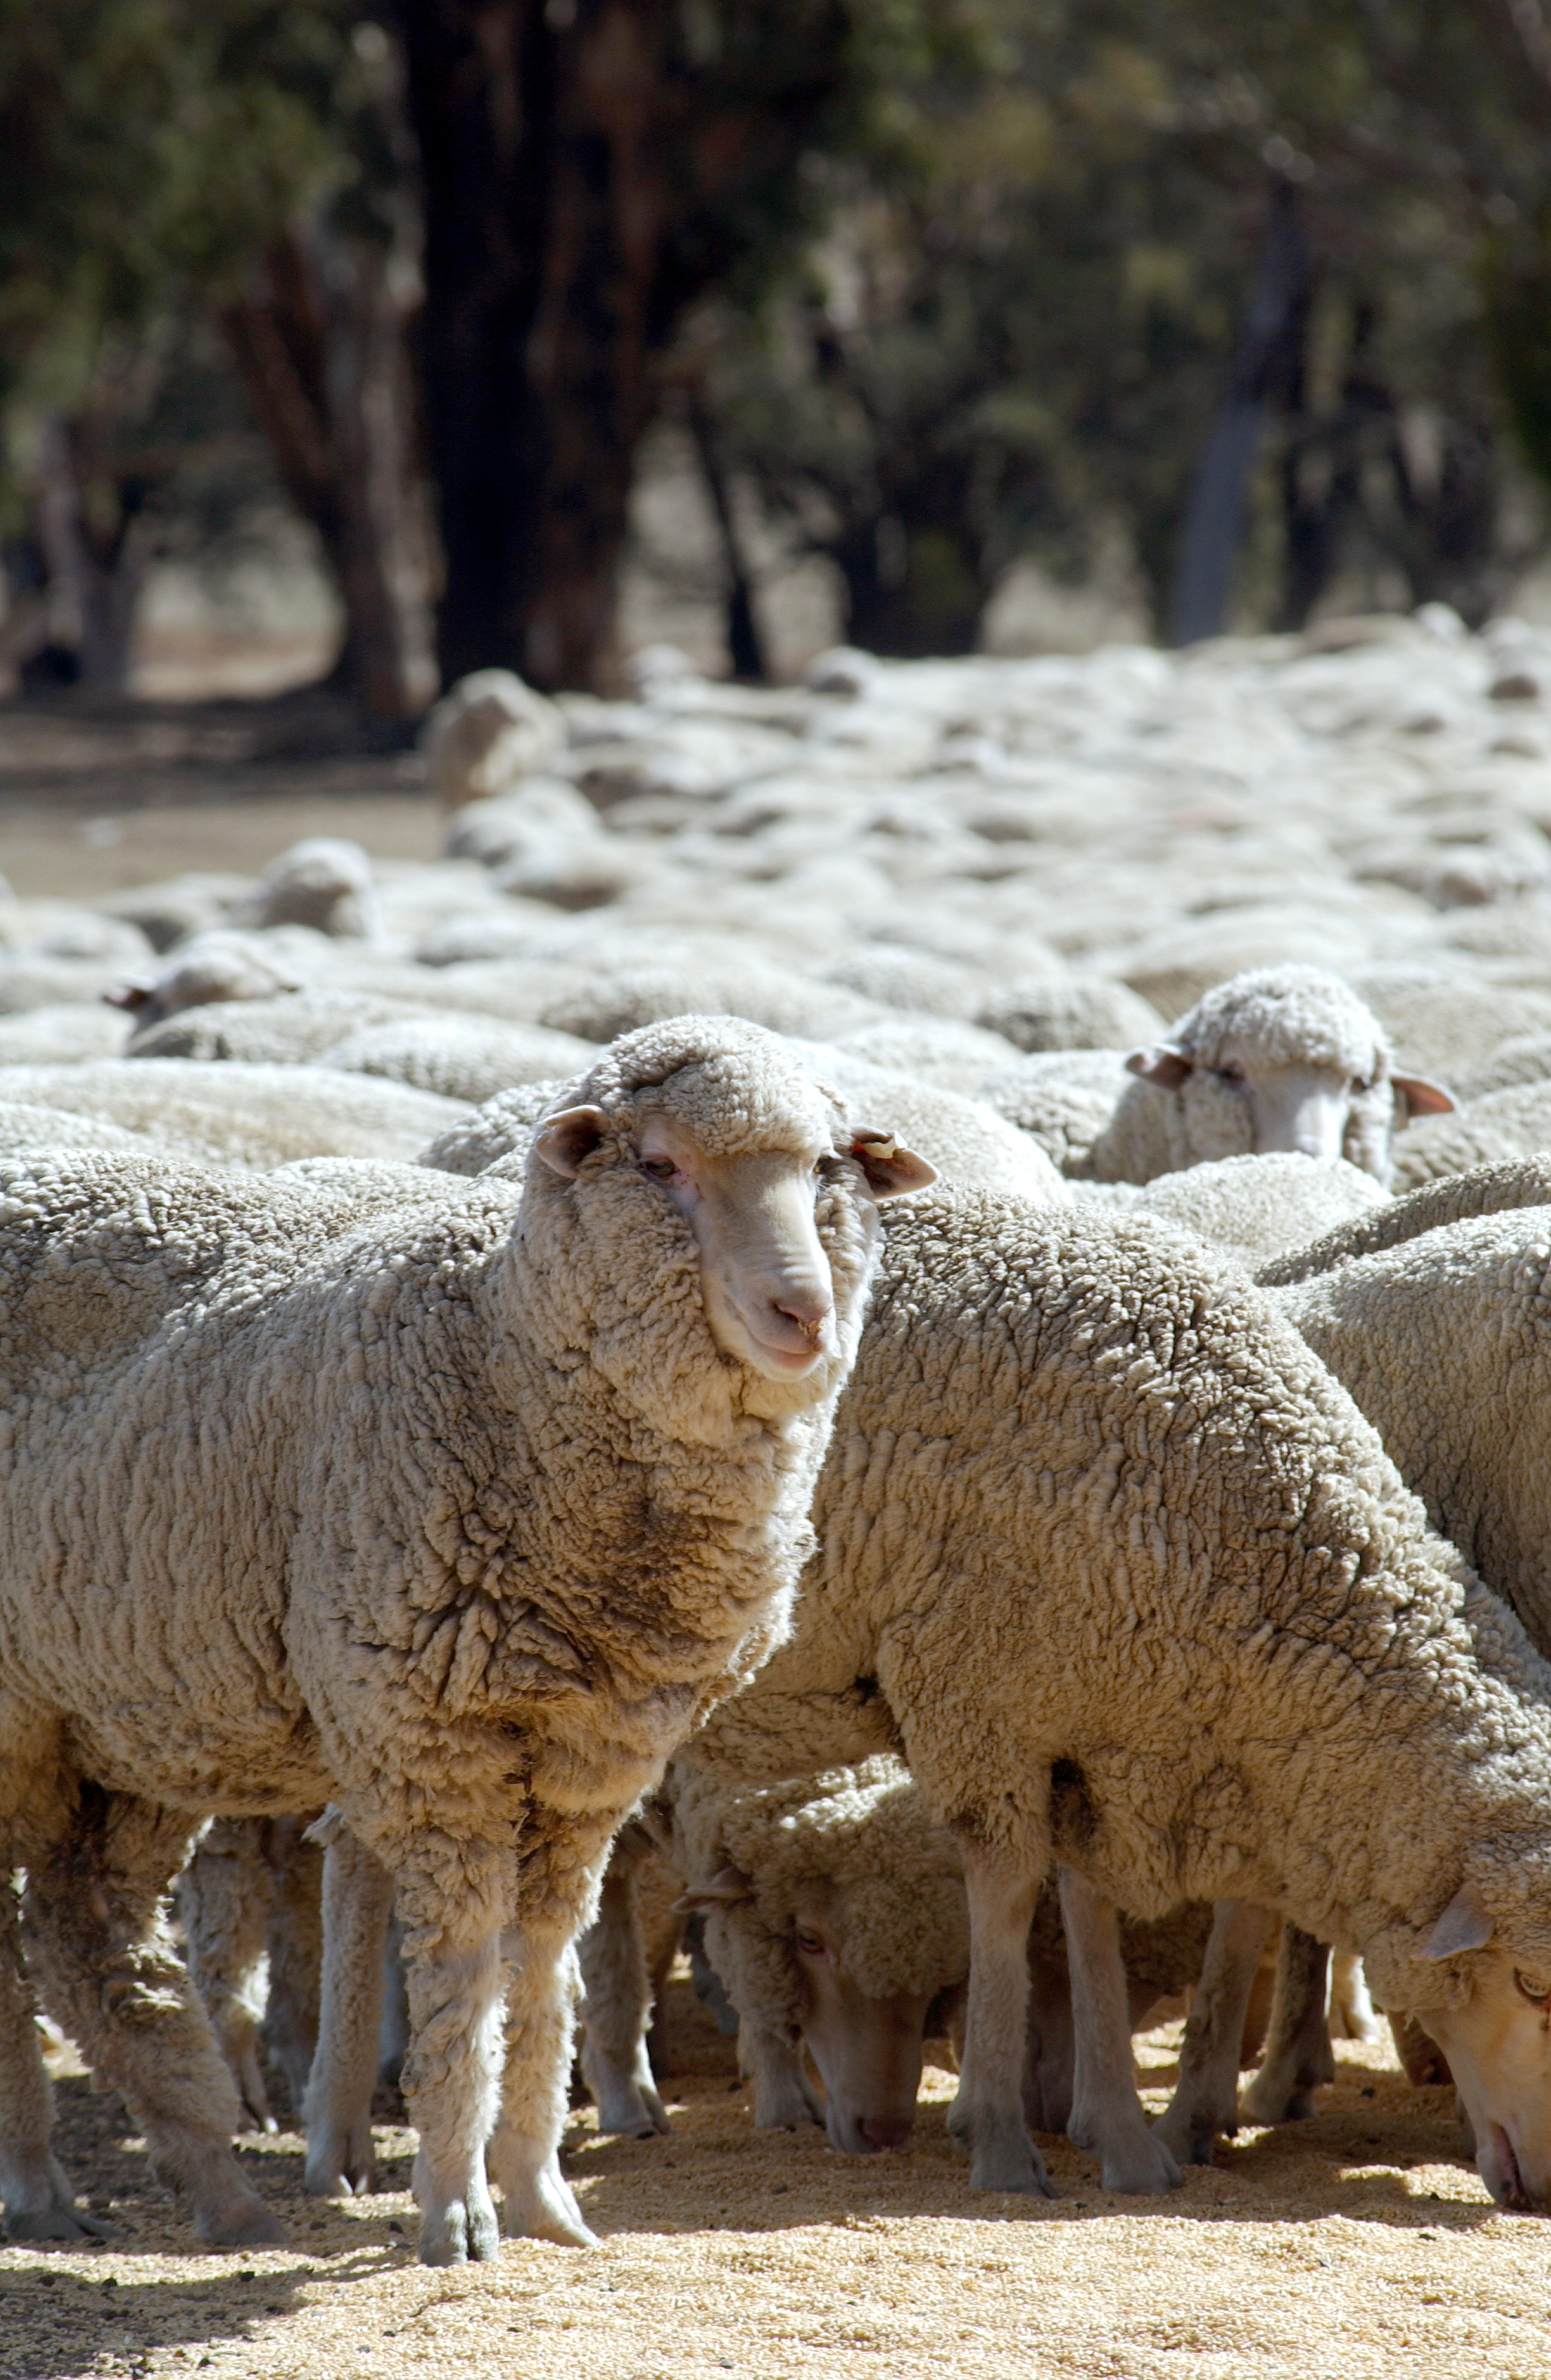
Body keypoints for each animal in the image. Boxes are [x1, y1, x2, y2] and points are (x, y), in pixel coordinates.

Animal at [0, 1018, 932, 2259]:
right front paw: (455, 2204)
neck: (504, 1362)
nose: (804, 1314)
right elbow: (458, 1970)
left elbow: (539, 1966)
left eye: (829, 1167)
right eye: (659, 1166)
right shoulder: (431, 1738)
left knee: (83, 1928)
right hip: (20, 1711)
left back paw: (218, 2184)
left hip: (125, 1724)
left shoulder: (595, 1756)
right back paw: (39, 2177)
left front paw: (540, 2197)